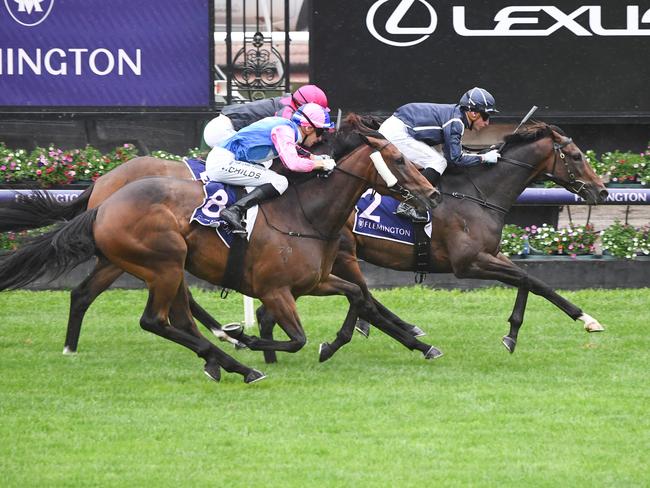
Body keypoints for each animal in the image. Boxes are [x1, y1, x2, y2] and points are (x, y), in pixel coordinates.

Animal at [0, 127, 438, 386]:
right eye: (400, 160)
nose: (432, 194)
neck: (306, 213)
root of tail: (104, 199)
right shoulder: (276, 288)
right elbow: (298, 337)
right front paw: (249, 337)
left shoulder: (316, 280)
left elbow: (357, 296)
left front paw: (336, 344)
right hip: (164, 261)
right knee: (155, 320)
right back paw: (235, 356)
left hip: (140, 263)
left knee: (117, 303)